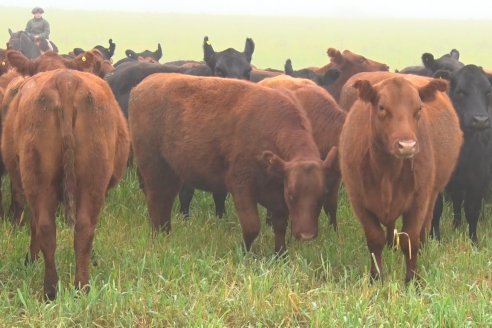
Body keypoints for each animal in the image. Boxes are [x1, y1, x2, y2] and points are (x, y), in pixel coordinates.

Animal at [0, 69, 131, 300]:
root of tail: (66, 79)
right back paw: (79, 286)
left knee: (48, 227)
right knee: (83, 228)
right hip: (90, 183)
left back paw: (54, 289)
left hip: (42, 180)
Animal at [128, 73, 338, 254]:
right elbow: (252, 226)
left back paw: (166, 234)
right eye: (292, 195)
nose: (306, 235)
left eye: (322, 195)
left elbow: (280, 225)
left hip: (172, 173)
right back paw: (158, 238)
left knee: (166, 201)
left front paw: (281, 255)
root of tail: (142, 86)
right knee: (156, 201)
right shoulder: (242, 186)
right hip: (153, 168)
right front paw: (245, 253)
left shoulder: (277, 196)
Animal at [340, 73, 464, 284]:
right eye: (382, 107)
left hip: (432, 194)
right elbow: (375, 238)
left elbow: (410, 239)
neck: (387, 173)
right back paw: (391, 245)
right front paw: (376, 277)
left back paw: (423, 247)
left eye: (419, 108)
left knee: (425, 225)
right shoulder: (359, 202)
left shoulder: (419, 200)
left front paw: (412, 279)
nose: (407, 146)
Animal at [432, 64, 492, 243]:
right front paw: (435, 239)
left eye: (488, 92)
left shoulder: (477, 178)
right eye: (460, 91)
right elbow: (437, 209)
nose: (481, 120)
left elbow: (472, 210)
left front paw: (474, 241)